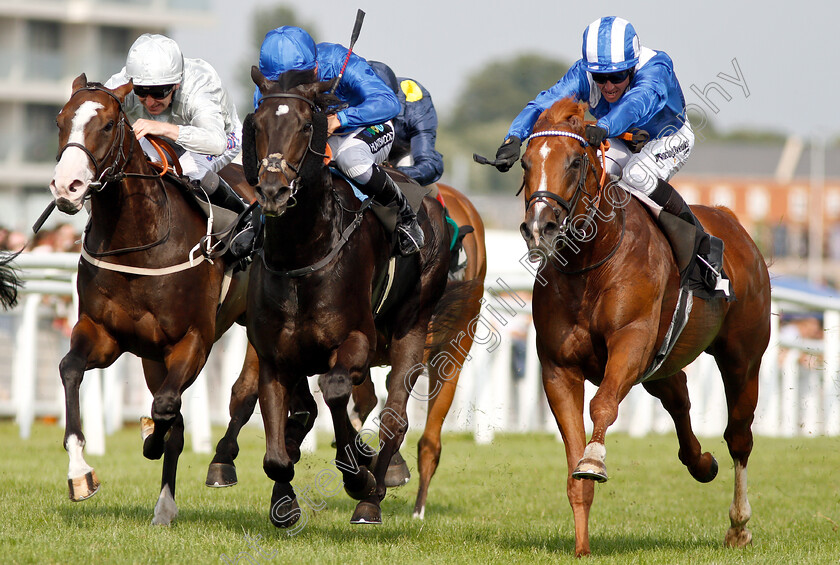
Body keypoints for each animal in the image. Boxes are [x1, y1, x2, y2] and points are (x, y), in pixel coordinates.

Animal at [49, 75, 256, 524]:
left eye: (109, 125)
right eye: (60, 120)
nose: (67, 186)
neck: (139, 241)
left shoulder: (194, 339)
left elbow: (166, 407)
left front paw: (150, 439)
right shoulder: (105, 335)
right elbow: (70, 369)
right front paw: (80, 473)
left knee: (243, 392)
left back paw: (218, 464)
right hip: (150, 355)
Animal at [243, 68, 476, 528]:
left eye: (304, 125)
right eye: (256, 125)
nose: (273, 191)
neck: (302, 255)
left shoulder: (357, 340)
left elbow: (334, 390)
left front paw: (358, 474)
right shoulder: (274, 356)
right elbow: (279, 447)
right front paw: (285, 502)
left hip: (413, 326)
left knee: (394, 415)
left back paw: (372, 496)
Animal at [516, 98, 772, 556]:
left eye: (576, 161)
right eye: (527, 162)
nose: (540, 227)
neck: (589, 266)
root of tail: (733, 223)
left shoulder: (630, 342)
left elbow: (602, 407)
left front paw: (595, 461)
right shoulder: (558, 368)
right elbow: (574, 460)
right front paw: (582, 546)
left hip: (743, 358)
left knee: (740, 435)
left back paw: (739, 525)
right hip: (662, 363)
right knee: (679, 397)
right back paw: (701, 463)